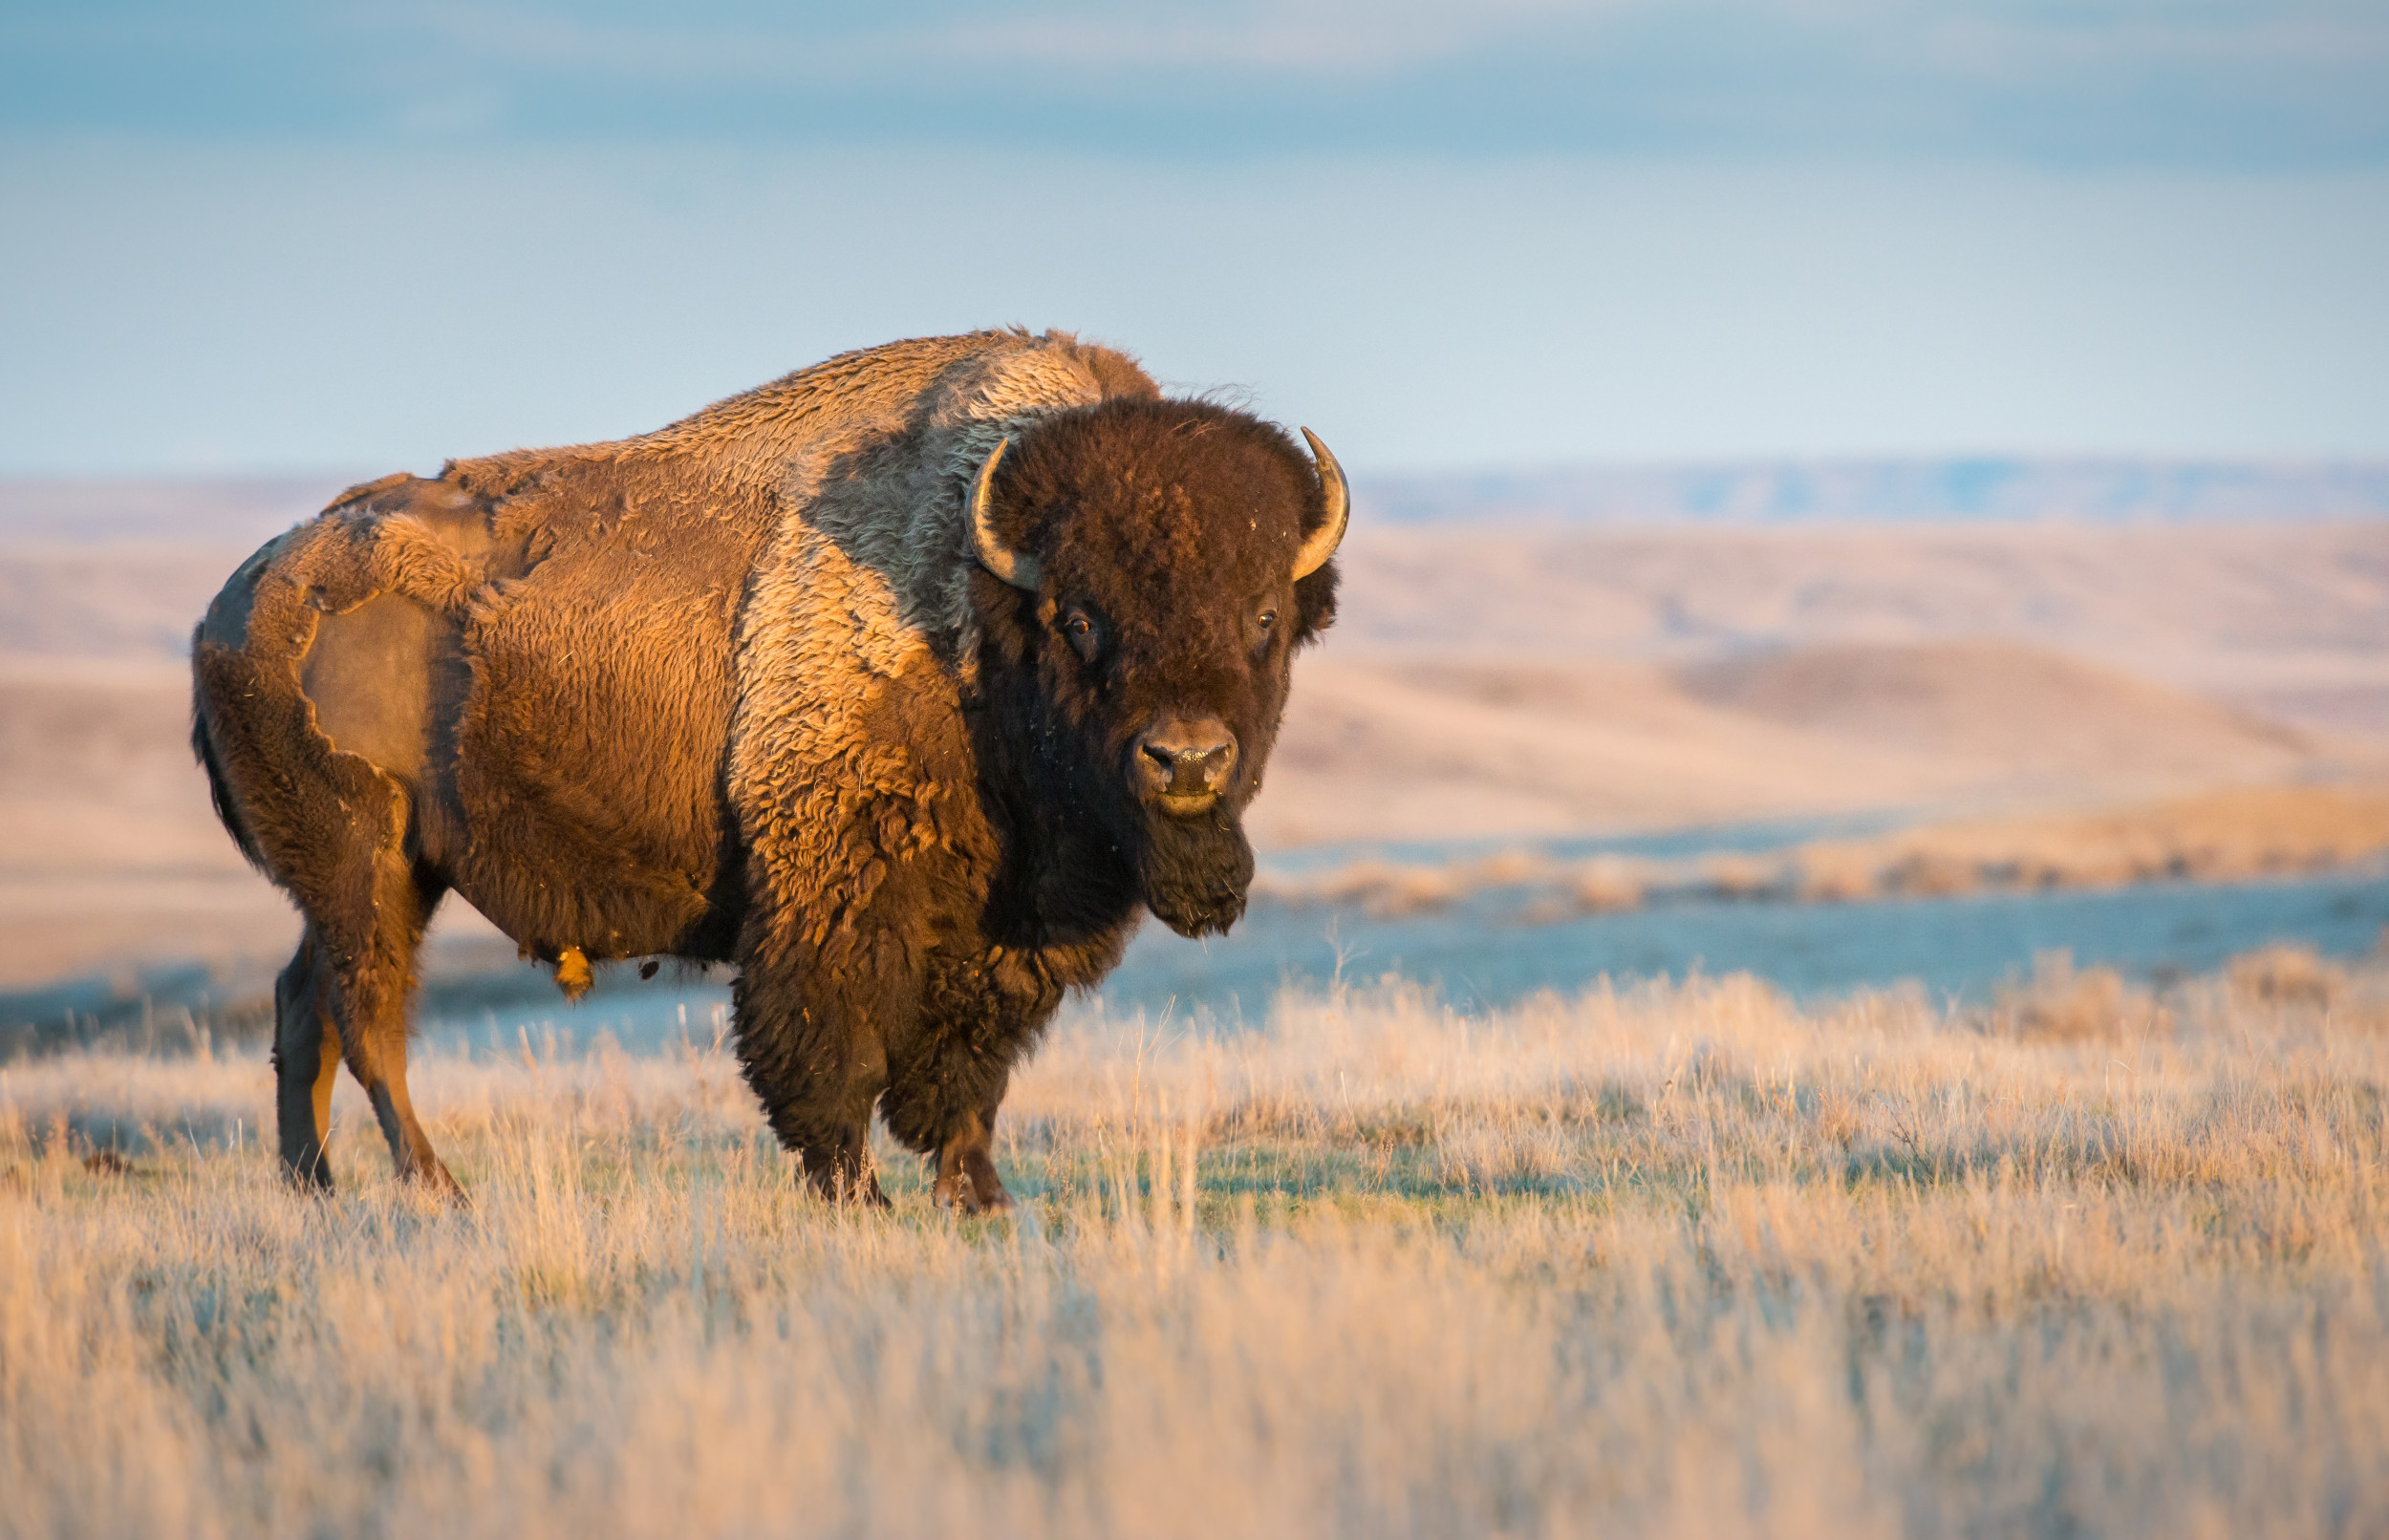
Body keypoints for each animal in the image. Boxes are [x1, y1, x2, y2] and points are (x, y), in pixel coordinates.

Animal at [191, 327, 1347, 1212]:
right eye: (1079, 618)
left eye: (1263, 616)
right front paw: (860, 1197)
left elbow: (968, 1068)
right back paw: (437, 1189)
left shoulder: (1004, 931)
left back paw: (315, 1189)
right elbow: (831, 1050)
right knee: (367, 1017)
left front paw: (979, 1196)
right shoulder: (832, 890)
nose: (1186, 759)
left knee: (303, 1004)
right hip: (368, 863)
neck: (975, 603)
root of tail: (238, 601)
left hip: (376, 877)